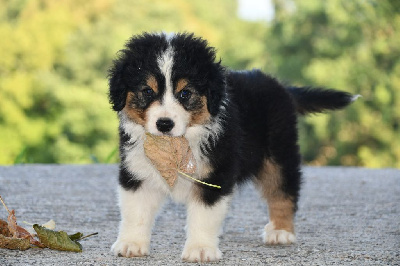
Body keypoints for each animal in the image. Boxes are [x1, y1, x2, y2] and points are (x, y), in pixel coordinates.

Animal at [107, 31, 356, 262]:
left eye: (185, 93)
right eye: (147, 91)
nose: (164, 124)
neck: (179, 142)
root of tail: (279, 86)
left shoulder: (215, 174)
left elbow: (204, 215)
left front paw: (200, 249)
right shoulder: (137, 170)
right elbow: (135, 211)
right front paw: (131, 244)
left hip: (279, 153)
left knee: (283, 191)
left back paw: (281, 231)